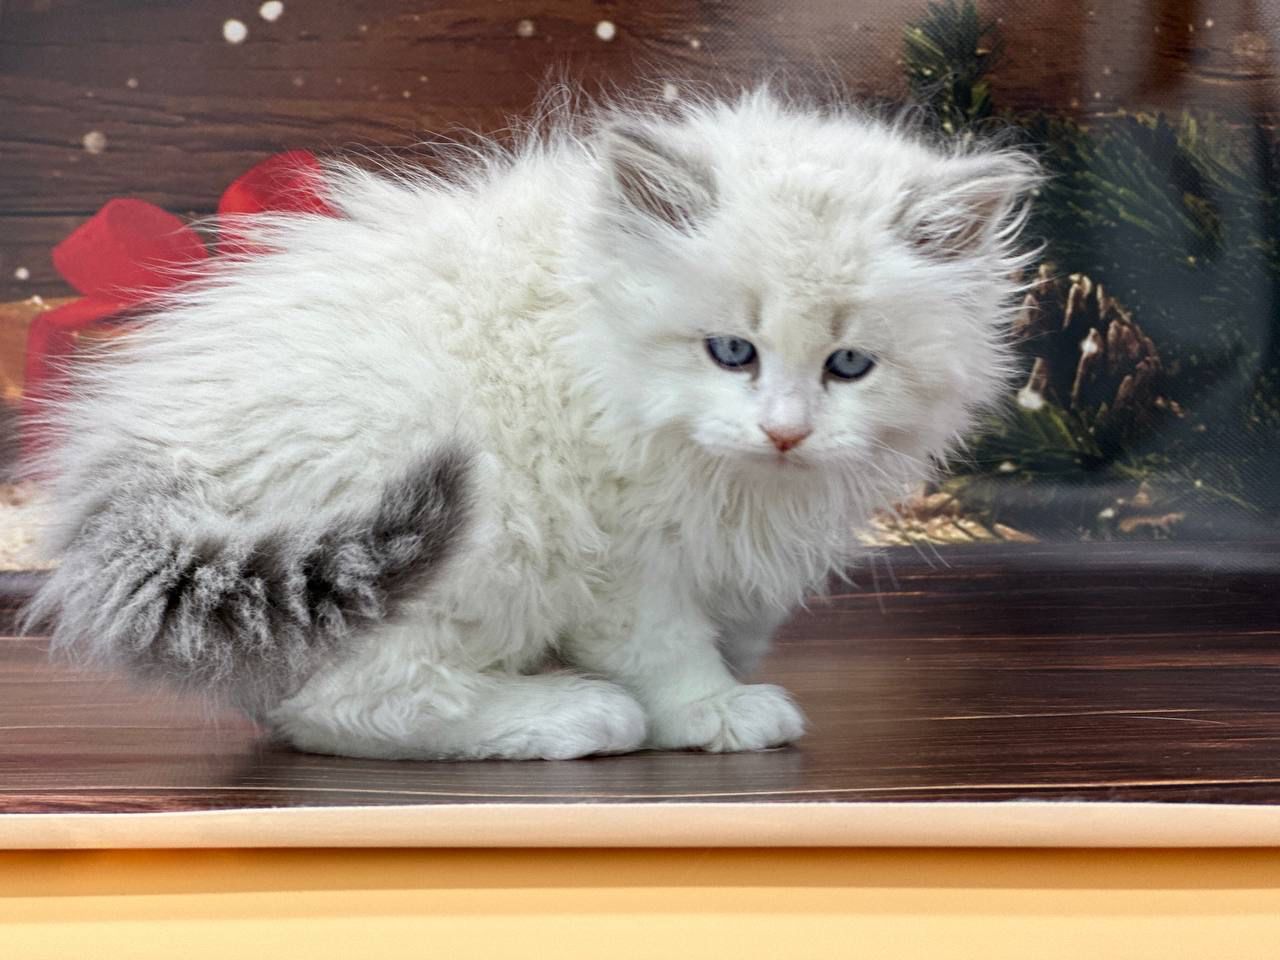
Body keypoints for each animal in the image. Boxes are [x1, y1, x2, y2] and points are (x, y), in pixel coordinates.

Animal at [24, 87, 1039, 760]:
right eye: (732, 352)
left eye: (849, 366)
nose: (786, 432)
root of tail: (125, 482)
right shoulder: (620, 549)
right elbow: (666, 644)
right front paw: (711, 710)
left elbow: (732, 617)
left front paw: (732, 674)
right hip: (470, 527)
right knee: (343, 708)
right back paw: (570, 714)